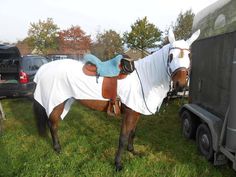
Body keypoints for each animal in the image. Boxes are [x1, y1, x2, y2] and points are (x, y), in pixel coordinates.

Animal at [32, 29, 199, 171]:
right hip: (57, 102)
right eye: (170, 57)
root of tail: (44, 68)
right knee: (53, 124)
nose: (180, 84)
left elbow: (133, 133)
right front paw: (118, 164)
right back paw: (58, 149)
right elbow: (123, 138)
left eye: (190, 56)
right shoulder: (130, 113)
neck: (144, 77)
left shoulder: (136, 112)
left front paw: (133, 151)